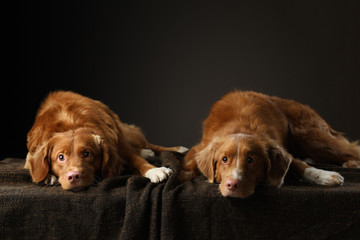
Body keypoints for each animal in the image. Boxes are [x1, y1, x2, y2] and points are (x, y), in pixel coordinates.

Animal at [24, 91, 188, 190]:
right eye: (60, 157)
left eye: (87, 154)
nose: (74, 176)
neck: (71, 124)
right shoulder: (30, 156)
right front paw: (48, 176)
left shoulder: (119, 144)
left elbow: (137, 159)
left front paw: (155, 170)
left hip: (126, 132)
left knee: (148, 145)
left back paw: (174, 149)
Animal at [183, 91, 360, 198]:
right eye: (224, 159)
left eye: (251, 160)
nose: (232, 185)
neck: (240, 127)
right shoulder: (198, 148)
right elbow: (187, 166)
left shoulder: (278, 147)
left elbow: (298, 165)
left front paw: (325, 175)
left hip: (313, 138)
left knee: (352, 149)